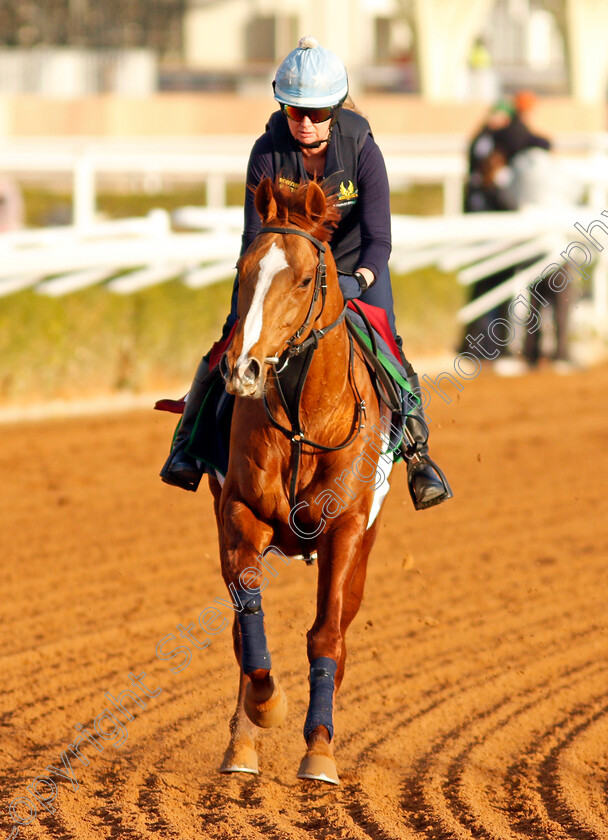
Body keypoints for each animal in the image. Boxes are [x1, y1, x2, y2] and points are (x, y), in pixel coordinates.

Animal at [211, 177, 396, 788]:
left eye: (301, 278)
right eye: (243, 268)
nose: (242, 369)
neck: (304, 421)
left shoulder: (346, 529)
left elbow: (326, 635)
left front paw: (319, 750)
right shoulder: (240, 512)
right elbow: (248, 623)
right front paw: (265, 709)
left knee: (339, 632)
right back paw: (241, 744)